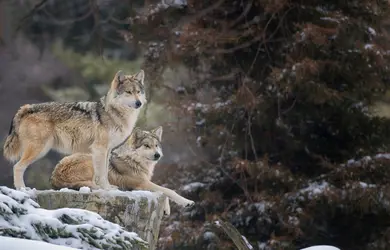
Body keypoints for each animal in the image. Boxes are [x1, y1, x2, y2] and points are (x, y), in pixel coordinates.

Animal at [3, 69, 147, 190]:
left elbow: (105, 172)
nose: (139, 103)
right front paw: (106, 189)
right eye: (128, 92)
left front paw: (107, 187)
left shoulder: (107, 150)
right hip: (39, 149)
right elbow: (101, 173)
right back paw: (22, 189)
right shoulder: (100, 148)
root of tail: (26, 107)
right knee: (17, 167)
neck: (114, 113)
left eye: (138, 92)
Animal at [49, 127, 195, 215]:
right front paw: (187, 202)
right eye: (146, 145)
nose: (157, 155)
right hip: (93, 161)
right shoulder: (141, 184)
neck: (135, 160)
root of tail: (55, 177)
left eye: (156, 145)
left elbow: (163, 191)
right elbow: (168, 190)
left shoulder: (143, 184)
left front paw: (166, 209)